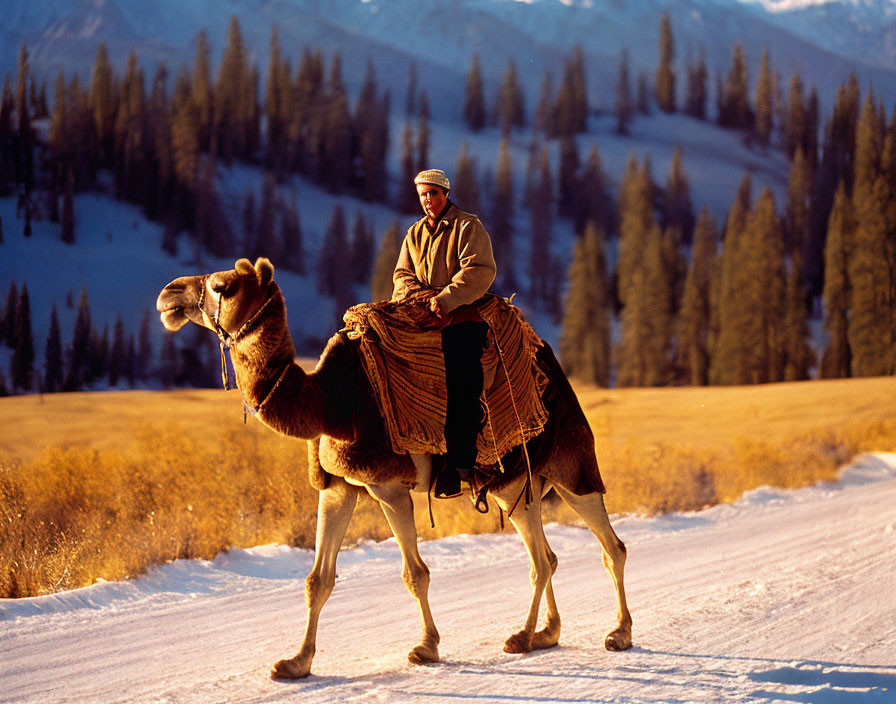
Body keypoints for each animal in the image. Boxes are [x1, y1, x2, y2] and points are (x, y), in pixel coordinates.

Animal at [156, 258, 632, 676]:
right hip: (519, 484)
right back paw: (544, 634)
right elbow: (318, 579)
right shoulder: (338, 486)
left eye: (222, 286)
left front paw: (427, 647)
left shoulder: (389, 485)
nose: (169, 294)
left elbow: (415, 573)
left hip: (565, 465)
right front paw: (295, 663)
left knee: (601, 546)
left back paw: (603, 634)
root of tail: (547, 362)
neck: (331, 403)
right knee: (546, 555)